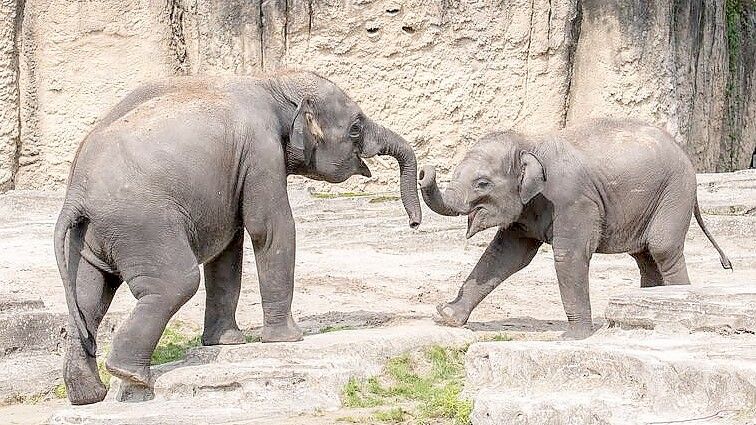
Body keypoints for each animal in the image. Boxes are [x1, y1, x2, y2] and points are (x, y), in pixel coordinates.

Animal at [54, 70, 422, 404]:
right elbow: (269, 229)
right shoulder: (261, 151)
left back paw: (89, 395)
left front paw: (226, 343)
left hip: (91, 237)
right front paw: (288, 339)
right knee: (175, 284)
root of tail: (75, 194)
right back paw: (130, 377)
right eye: (356, 126)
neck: (272, 81)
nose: (414, 224)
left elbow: (228, 248)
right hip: (142, 225)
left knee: (88, 298)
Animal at [420, 117, 732, 340]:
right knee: (645, 257)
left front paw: (572, 337)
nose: (424, 170)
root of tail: (685, 154)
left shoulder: (572, 199)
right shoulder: (529, 207)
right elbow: (504, 255)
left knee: (662, 249)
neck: (529, 141)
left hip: (675, 193)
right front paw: (446, 316)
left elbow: (568, 256)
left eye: (482, 183)